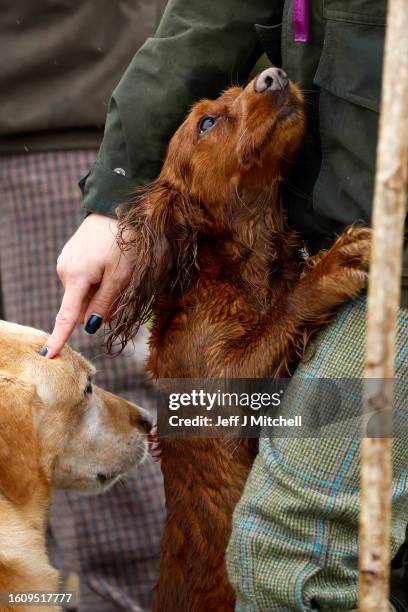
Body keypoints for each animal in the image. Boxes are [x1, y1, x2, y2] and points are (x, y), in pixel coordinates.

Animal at [110, 68, 372, 612]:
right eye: (207, 122)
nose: (275, 77)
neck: (243, 269)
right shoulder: (220, 380)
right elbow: (286, 314)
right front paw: (337, 263)